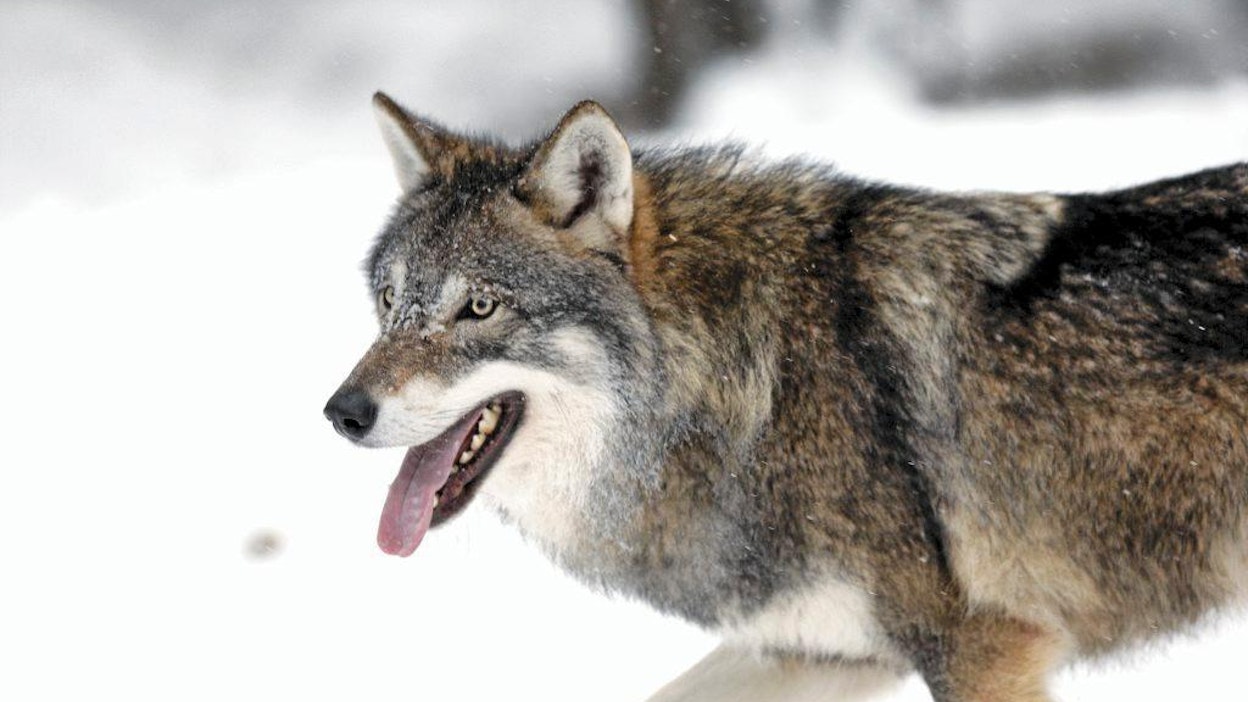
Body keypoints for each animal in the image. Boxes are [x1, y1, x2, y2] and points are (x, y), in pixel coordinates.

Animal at [324, 91, 1248, 702]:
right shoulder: (825, 650)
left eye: (478, 308)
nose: (342, 413)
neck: (751, 391)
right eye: (389, 302)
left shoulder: (982, 648)